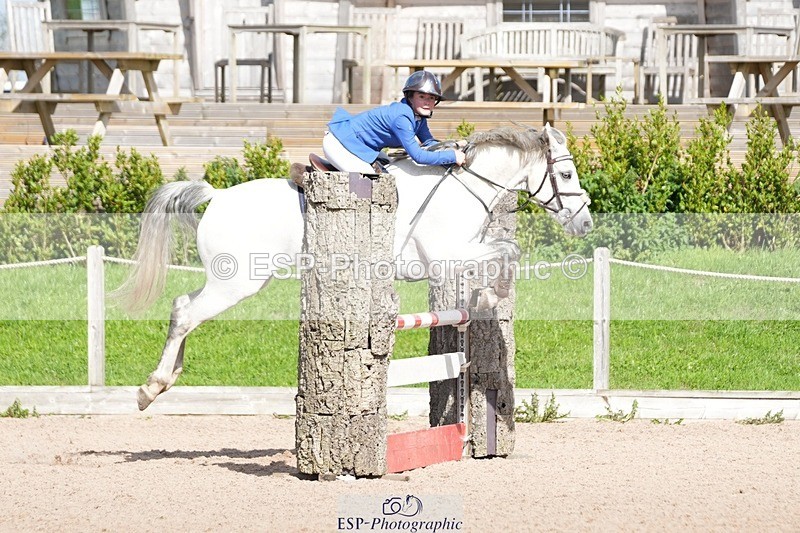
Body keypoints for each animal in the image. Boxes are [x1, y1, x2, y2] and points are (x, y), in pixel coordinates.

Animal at [117, 123, 592, 410]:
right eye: (567, 177)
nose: (585, 223)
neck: (465, 183)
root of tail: (216, 196)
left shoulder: (465, 250)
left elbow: (505, 250)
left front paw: (490, 295)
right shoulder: (447, 255)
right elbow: (509, 249)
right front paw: (494, 295)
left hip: (229, 281)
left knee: (182, 307)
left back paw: (166, 379)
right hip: (238, 283)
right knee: (187, 313)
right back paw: (151, 387)